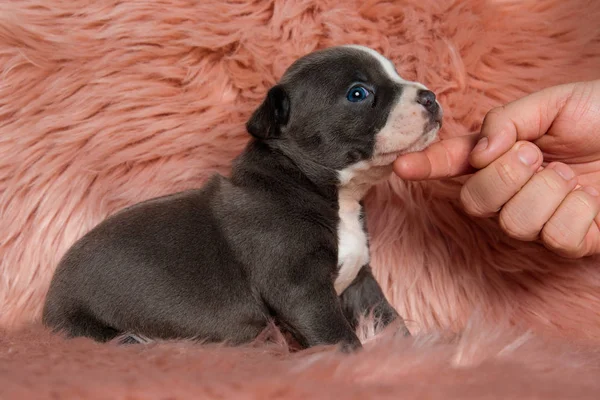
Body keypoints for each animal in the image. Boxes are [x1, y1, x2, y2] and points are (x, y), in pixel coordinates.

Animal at [42, 45, 442, 352]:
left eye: (396, 73)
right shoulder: (302, 289)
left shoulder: (361, 282)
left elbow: (387, 316)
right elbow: (337, 336)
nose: (431, 97)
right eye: (358, 93)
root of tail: (47, 311)